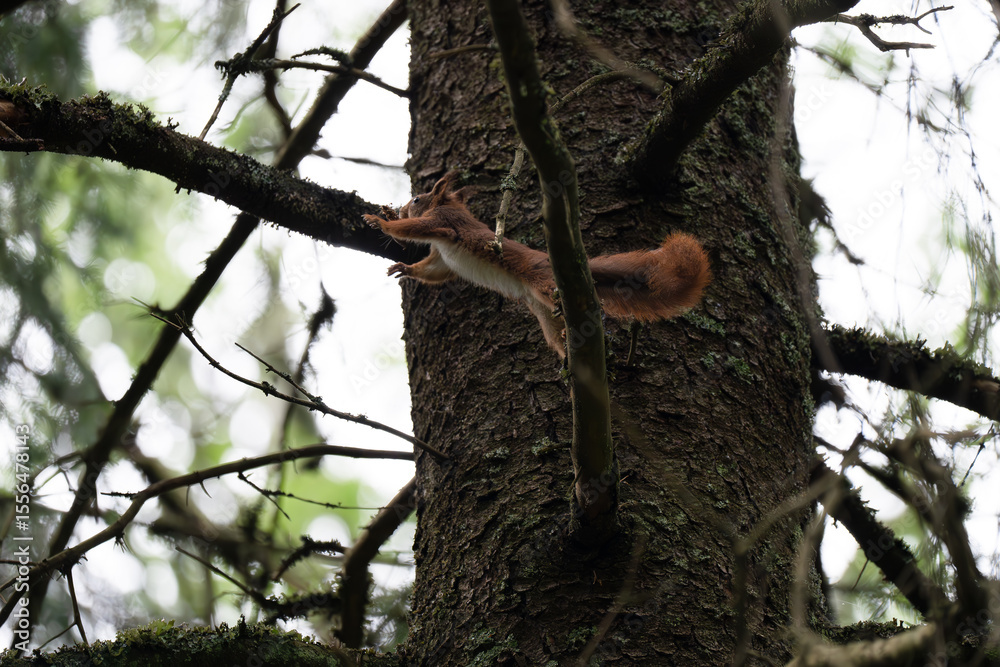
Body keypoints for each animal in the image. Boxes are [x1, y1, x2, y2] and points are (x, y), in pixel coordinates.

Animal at [363, 173, 711, 357]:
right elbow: (436, 272)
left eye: (418, 200)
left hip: (543, 283)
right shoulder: (439, 257)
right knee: (554, 333)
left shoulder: (443, 224)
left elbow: (416, 230)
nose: (402, 208)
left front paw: (381, 221)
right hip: (542, 311)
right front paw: (405, 269)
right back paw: (567, 354)